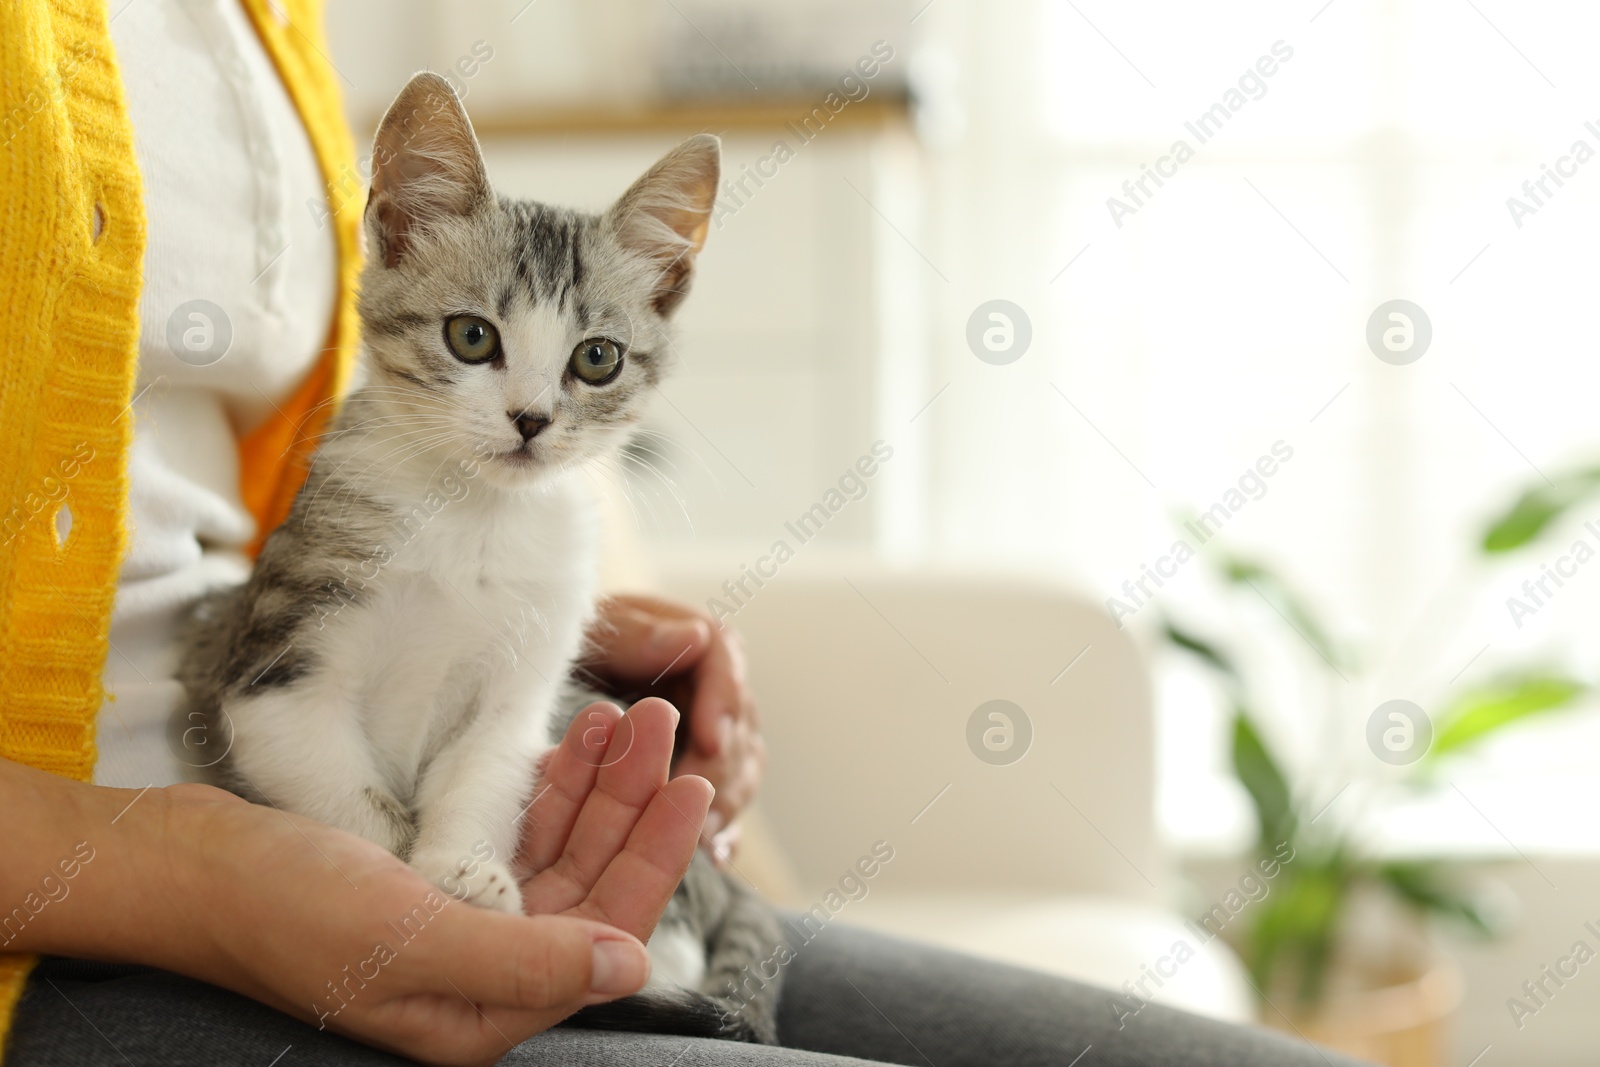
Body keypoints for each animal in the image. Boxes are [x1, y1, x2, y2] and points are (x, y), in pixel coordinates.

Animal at [176, 73, 787, 1043]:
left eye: (598, 358)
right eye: (472, 336)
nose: (531, 419)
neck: (472, 515)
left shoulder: (525, 687)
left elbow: (486, 771)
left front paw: (464, 871)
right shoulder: (272, 670)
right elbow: (343, 791)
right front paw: (401, 880)